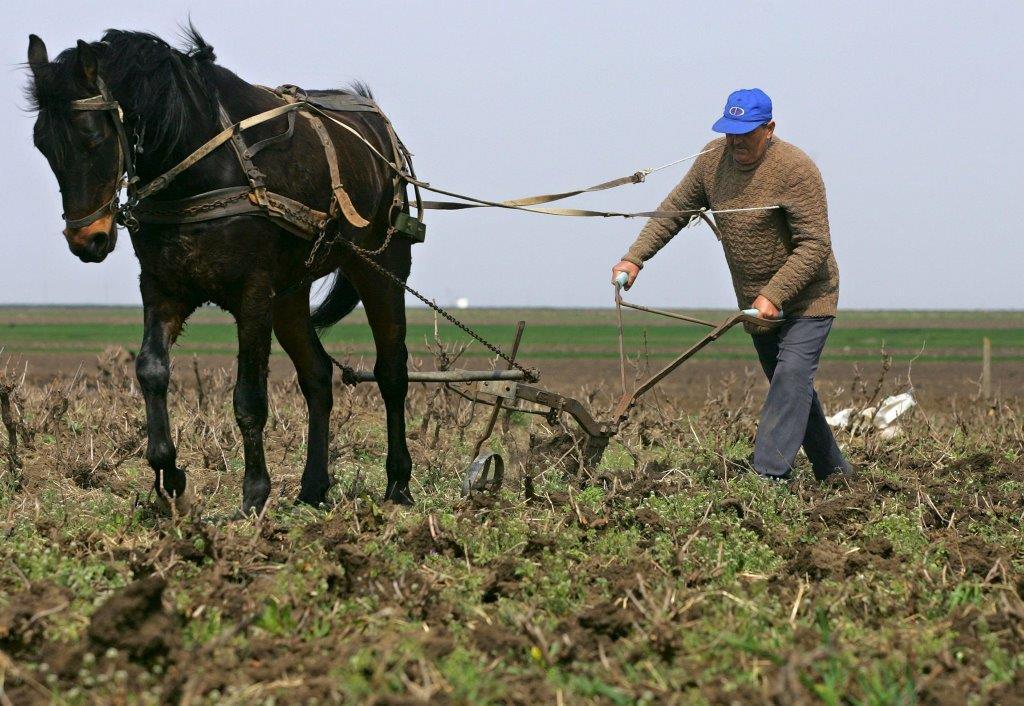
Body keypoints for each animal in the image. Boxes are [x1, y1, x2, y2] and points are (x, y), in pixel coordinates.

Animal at [24, 27, 415, 512]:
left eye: (92, 138)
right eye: (42, 144)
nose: (86, 240)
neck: (202, 165)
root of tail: (382, 132)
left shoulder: (253, 293)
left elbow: (249, 398)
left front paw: (254, 494)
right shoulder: (163, 287)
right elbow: (151, 370)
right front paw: (169, 476)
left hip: (380, 268)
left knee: (392, 373)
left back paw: (398, 484)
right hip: (289, 296)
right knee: (318, 376)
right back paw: (312, 488)